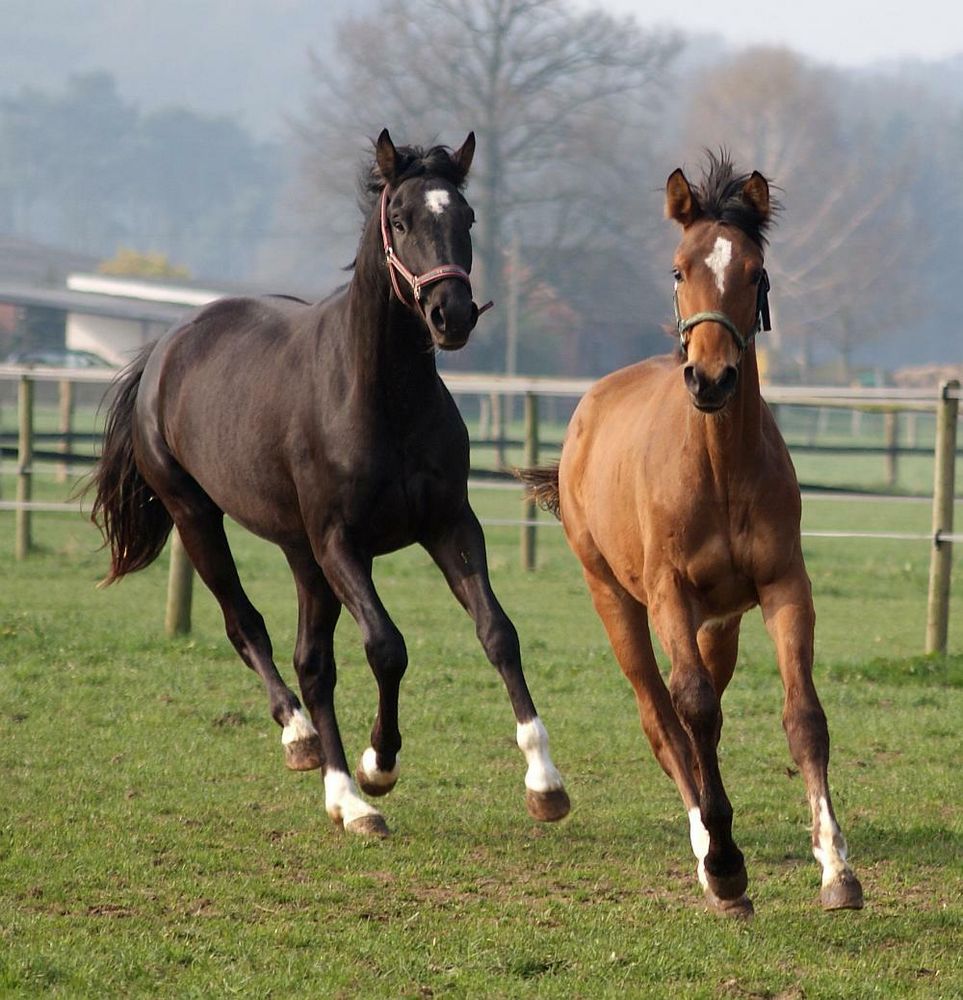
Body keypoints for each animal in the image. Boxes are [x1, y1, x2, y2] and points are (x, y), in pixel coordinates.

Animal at [91, 131, 568, 836]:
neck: (383, 397)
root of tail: (165, 348)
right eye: (399, 218)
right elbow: (387, 647)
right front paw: (379, 765)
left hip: (300, 554)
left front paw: (544, 781)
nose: (451, 315)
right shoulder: (342, 543)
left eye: (467, 217)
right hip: (200, 518)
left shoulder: (450, 525)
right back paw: (320, 760)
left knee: (311, 661)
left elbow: (498, 633)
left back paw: (338, 789)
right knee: (248, 629)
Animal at [528, 154, 868, 916]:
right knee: (663, 716)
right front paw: (725, 863)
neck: (718, 469)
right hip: (615, 599)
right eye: (679, 269)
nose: (710, 379)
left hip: (722, 622)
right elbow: (690, 709)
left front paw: (836, 870)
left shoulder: (783, 586)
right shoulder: (667, 594)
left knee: (696, 712)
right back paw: (707, 854)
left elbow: (803, 718)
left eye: (754, 271)